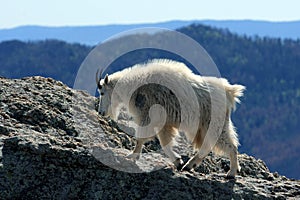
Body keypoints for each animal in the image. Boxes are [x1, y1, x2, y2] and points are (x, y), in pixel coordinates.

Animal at [97, 59, 245, 178]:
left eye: (102, 92)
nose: (101, 112)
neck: (133, 87)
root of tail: (229, 92)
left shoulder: (146, 115)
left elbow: (141, 138)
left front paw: (132, 155)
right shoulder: (164, 123)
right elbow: (165, 143)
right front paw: (178, 161)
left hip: (213, 122)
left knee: (229, 146)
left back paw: (231, 172)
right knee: (209, 145)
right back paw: (189, 165)